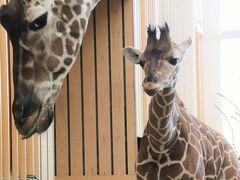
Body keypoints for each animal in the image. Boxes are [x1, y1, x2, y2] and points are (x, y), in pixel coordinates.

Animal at [123, 23, 239, 179]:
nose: (150, 85)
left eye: (174, 60)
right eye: (141, 62)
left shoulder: (195, 176)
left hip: (231, 175)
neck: (161, 143)